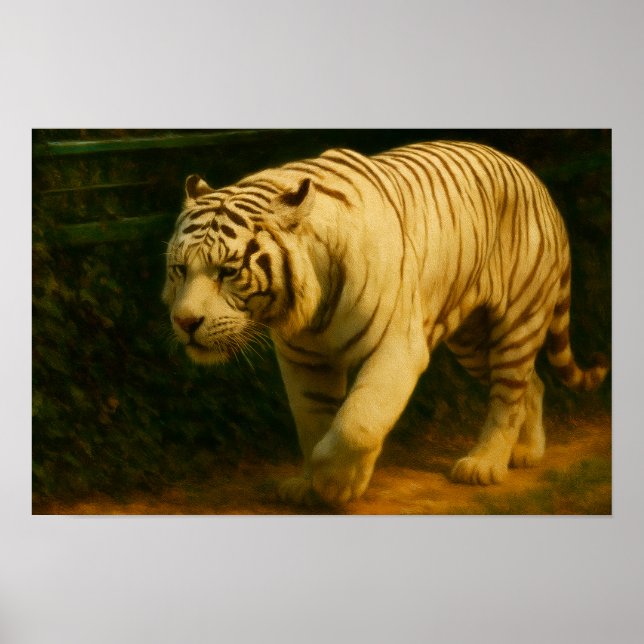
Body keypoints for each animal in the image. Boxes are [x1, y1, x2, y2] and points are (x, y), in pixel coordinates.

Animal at [162, 141, 609, 506]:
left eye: (227, 271)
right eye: (180, 269)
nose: (185, 321)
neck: (310, 303)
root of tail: (534, 178)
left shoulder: (398, 346)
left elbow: (357, 422)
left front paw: (339, 484)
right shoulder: (304, 359)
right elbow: (312, 422)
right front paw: (308, 485)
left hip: (518, 320)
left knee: (509, 393)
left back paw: (483, 465)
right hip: (472, 340)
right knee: (532, 383)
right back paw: (527, 453)